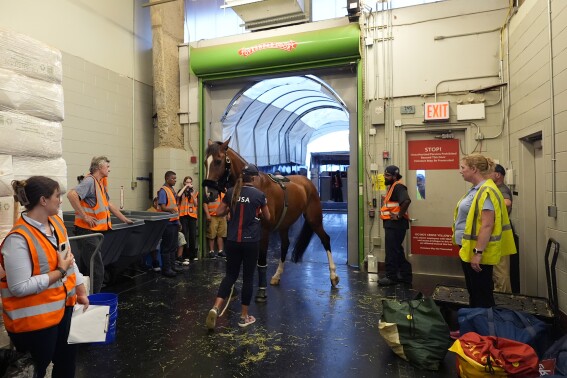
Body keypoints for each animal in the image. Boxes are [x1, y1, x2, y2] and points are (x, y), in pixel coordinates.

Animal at [203, 139, 340, 302]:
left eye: (218, 161)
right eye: (205, 162)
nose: (209, 194)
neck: (251, 185)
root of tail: (307, 182)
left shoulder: (264, 232)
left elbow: (261, 262)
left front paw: (261, 292)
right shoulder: (236, 230)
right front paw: (232, 289)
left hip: (314, 220)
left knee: (325, 240)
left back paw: (333, 276)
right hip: (285, 225)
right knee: (285, 245)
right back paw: (277, 276)